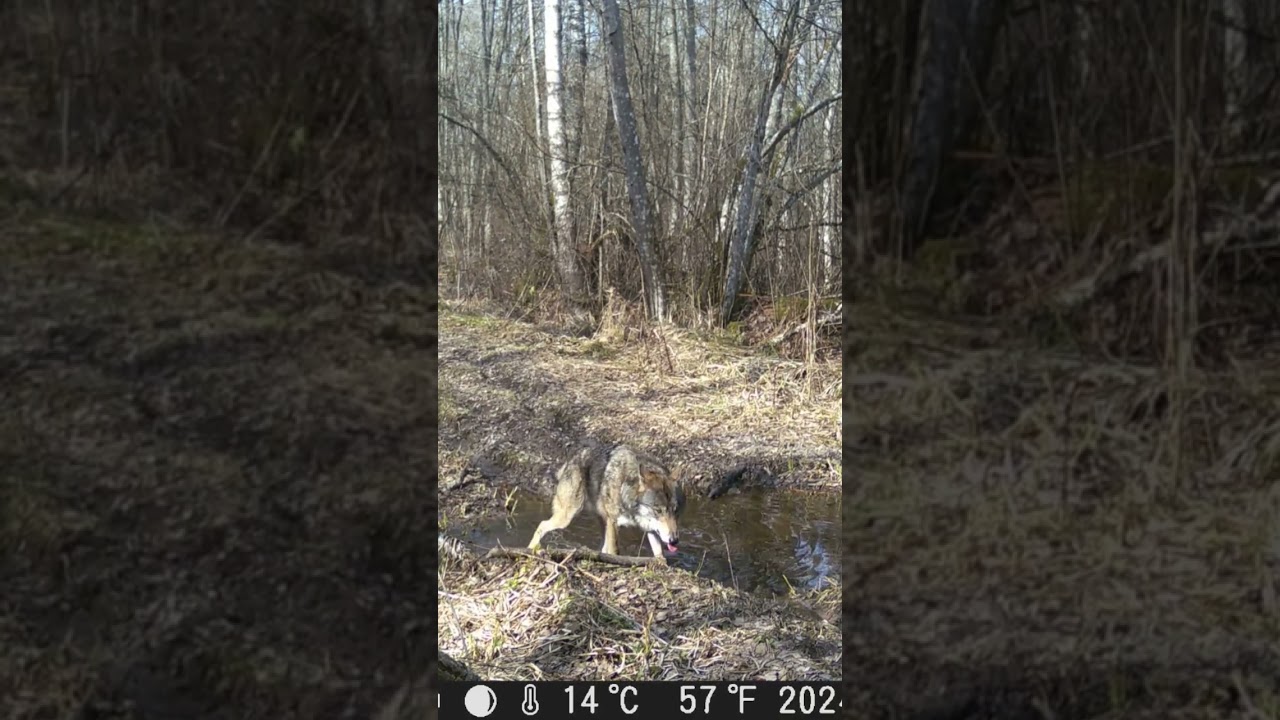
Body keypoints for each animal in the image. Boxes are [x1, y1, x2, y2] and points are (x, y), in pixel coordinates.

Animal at [527, 443, 684, 557]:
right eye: (658, 510)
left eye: (675, 511)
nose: (674, 540)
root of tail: (570, 461)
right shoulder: (613, 522)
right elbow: (615, 551)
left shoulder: (649, 528)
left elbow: (659, 554)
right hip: (568, 517)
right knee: (542, 524)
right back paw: (531, 549)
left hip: (600, 522)